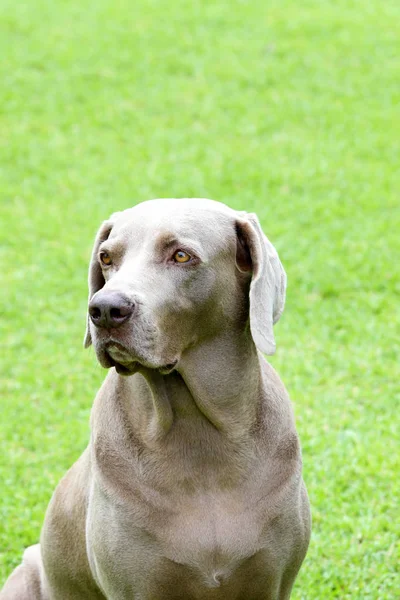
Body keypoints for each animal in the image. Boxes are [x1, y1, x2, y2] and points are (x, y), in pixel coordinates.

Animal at [1, 199, 310, 596]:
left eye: (181, 255)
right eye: (106, 257)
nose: (104, 309)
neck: (198, 437)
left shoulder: (274, 581)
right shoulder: (134, 586)